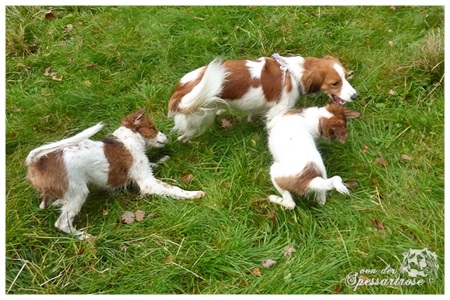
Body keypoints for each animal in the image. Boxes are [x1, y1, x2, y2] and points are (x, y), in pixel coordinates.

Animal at [26, 108, 206, 239]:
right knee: (62, 223)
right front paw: (194, 194)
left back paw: (57, 203)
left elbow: (153, 164)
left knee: (46, 204)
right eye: (153, 128)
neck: (129, 139)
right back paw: (84, 236)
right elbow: (173, 188)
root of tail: (37, 162)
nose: (167, 136)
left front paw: (163, 159)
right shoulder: (147, 182)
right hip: (78, 191)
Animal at [168, 53, 358, 142]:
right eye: (335, 83)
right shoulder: (278, 113)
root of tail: (181, 90)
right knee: (186, 133)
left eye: (346, 76)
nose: (356, 95)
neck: (294, 73)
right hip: (200, 118)